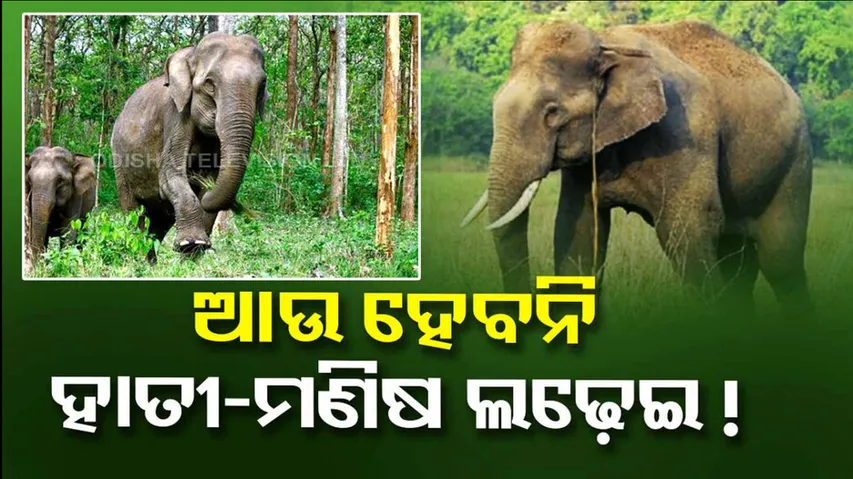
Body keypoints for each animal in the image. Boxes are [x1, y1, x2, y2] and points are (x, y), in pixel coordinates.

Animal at [111, 31, 268, 261]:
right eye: (210, 84)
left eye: (262, 85)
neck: (191, 53)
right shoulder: (175, 118)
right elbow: (170, 176)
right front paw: (191, 242)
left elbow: (212, 180)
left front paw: (194, 250)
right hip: (119, 162)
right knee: (134, 212)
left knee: (159, 223)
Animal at [461, 20, 813, 315]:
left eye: (553, 113)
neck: (606, 43)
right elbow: (577, 229)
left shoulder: (685, 132)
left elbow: (686, 229)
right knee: (739, 260)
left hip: (794, 162)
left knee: (780, 260)